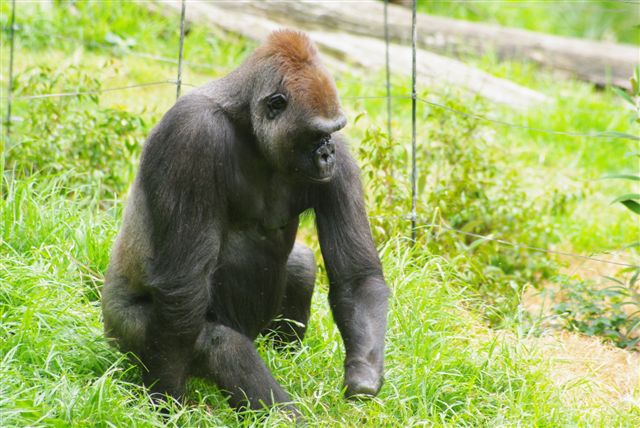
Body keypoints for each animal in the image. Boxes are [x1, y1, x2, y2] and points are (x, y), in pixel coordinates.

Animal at [101, 29, 390, 416]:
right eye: (316, 135)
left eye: (331, 133)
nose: (327, 153)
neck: (245, 121)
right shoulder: (191, 133)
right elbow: (184, 285)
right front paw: (164, 397)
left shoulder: (341, 158)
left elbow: (357, 277)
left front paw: (363, 379)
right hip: (121, 330)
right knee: (219, 343)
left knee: (301, 264)